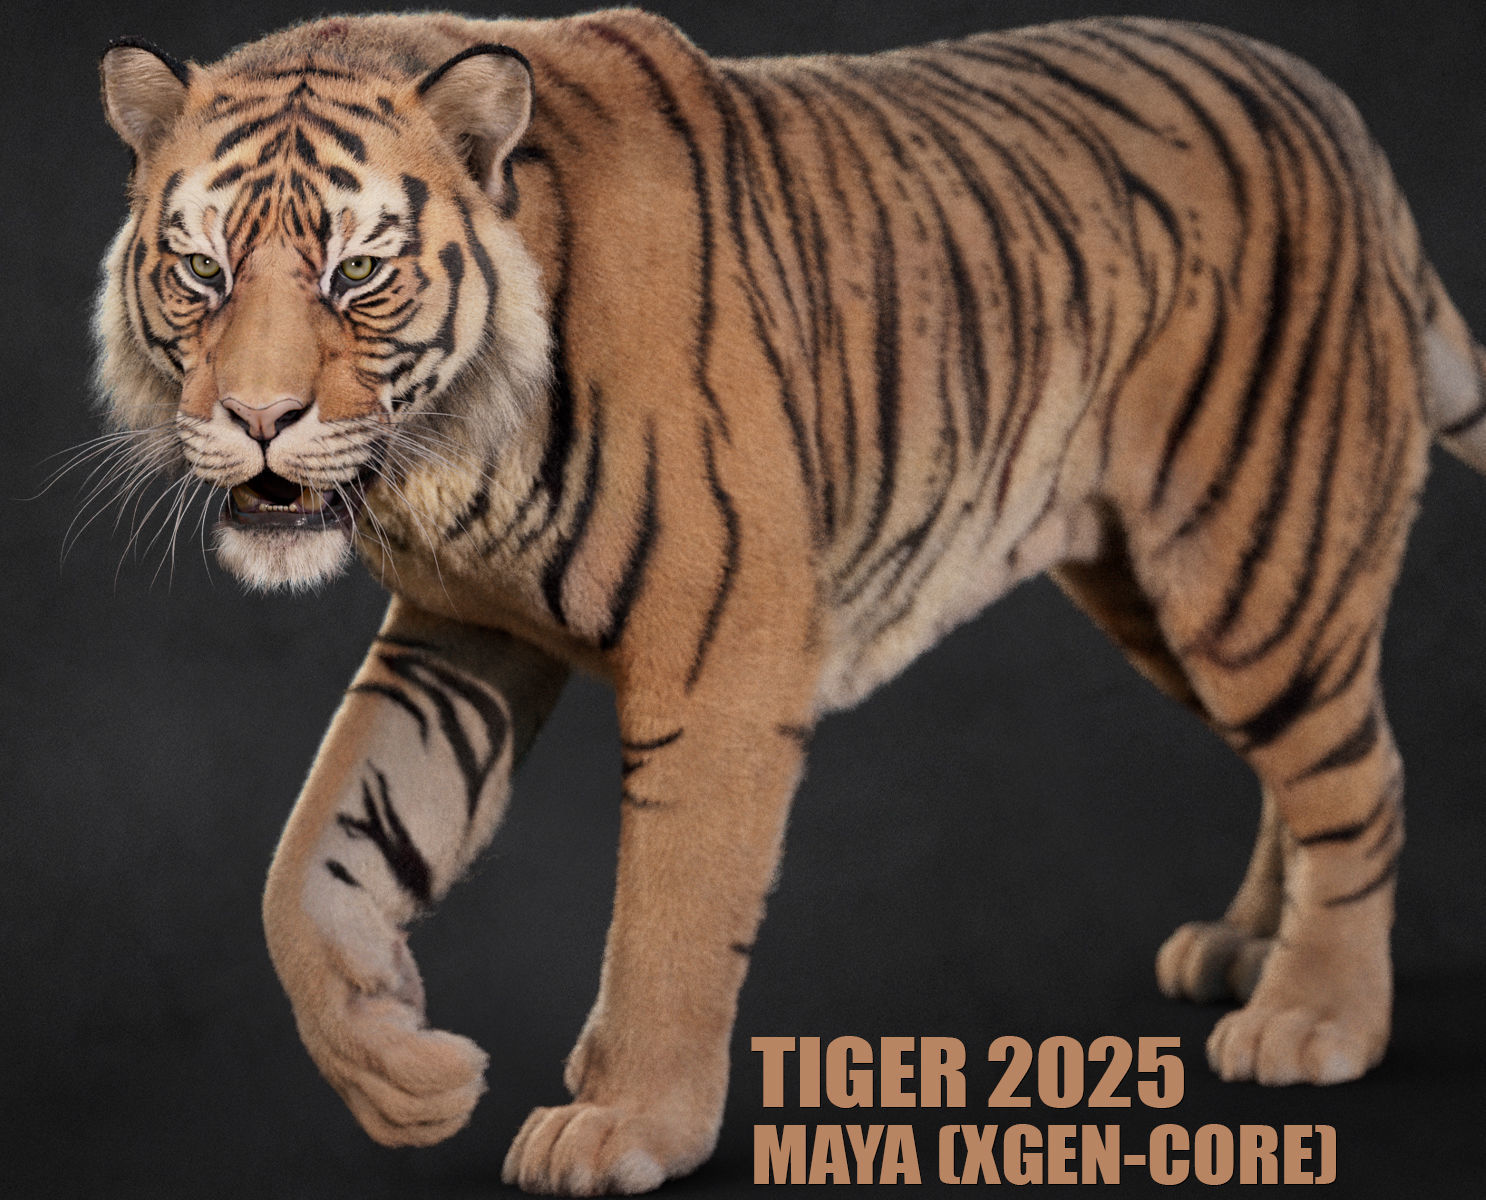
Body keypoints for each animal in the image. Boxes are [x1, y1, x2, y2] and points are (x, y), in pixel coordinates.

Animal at [93, 7, 1486, 1195]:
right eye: (200, 273)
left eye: (360, 274)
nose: (257, 420)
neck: (446, 467)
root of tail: (1335, 114)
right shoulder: (463, 636)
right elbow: (312, 861)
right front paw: (407, 1079)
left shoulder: (723, 651)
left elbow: (671, 912)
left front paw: (625, 1122)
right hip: (1156, 594)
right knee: (1295, 771)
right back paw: (1248, 951)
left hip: (1252, 566)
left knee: (1361, 775)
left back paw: (1314, 1016)